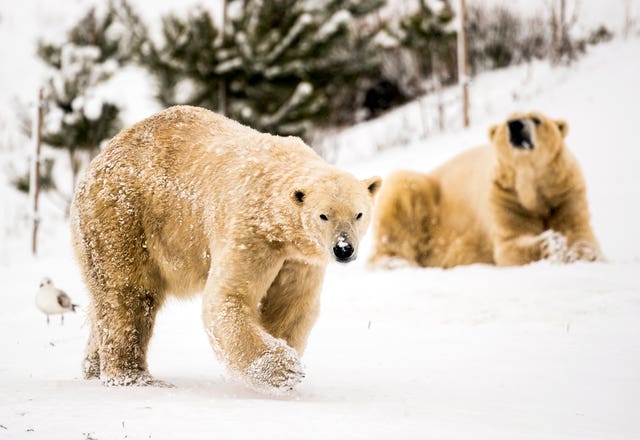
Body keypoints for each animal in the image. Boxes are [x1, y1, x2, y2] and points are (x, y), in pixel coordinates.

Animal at [71, 105, 380, 392]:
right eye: (324, 215)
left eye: (359, 214)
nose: (343, 248)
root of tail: (98, 161)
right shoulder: (249, 232)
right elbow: (229, 298)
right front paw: (286, 369)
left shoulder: (299, 259)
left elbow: (290, 305)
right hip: (124, 216)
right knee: (128, 293)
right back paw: (134, 377)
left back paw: (92, 368)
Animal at [368, 111, 604, 268]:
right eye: (507, 121)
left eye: (537, 119)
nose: (515, 125)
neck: (529, 185)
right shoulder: (504, 198)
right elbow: (509, 245)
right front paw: (553, 244)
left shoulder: (564, 193)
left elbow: (579, 231)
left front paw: (581, 252)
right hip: (423, 195)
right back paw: (396, 262)